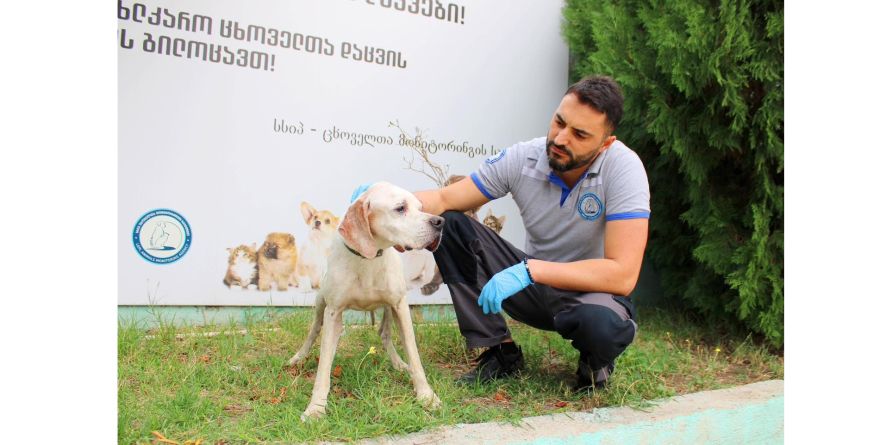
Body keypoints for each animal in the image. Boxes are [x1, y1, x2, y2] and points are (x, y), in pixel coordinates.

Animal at [290, 181, 444, 420]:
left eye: (421, 207)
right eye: (400, 208)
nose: (439, 222)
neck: (369, 258)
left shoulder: (400, 306)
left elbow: (415, 356)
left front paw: (426, 396)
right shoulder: (333, 312)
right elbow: (324, 366)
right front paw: (316, 407)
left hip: (390, 307)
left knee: (384, 333)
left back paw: (399, 363)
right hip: (320, 302)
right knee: (314, 330)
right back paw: (299, 356)